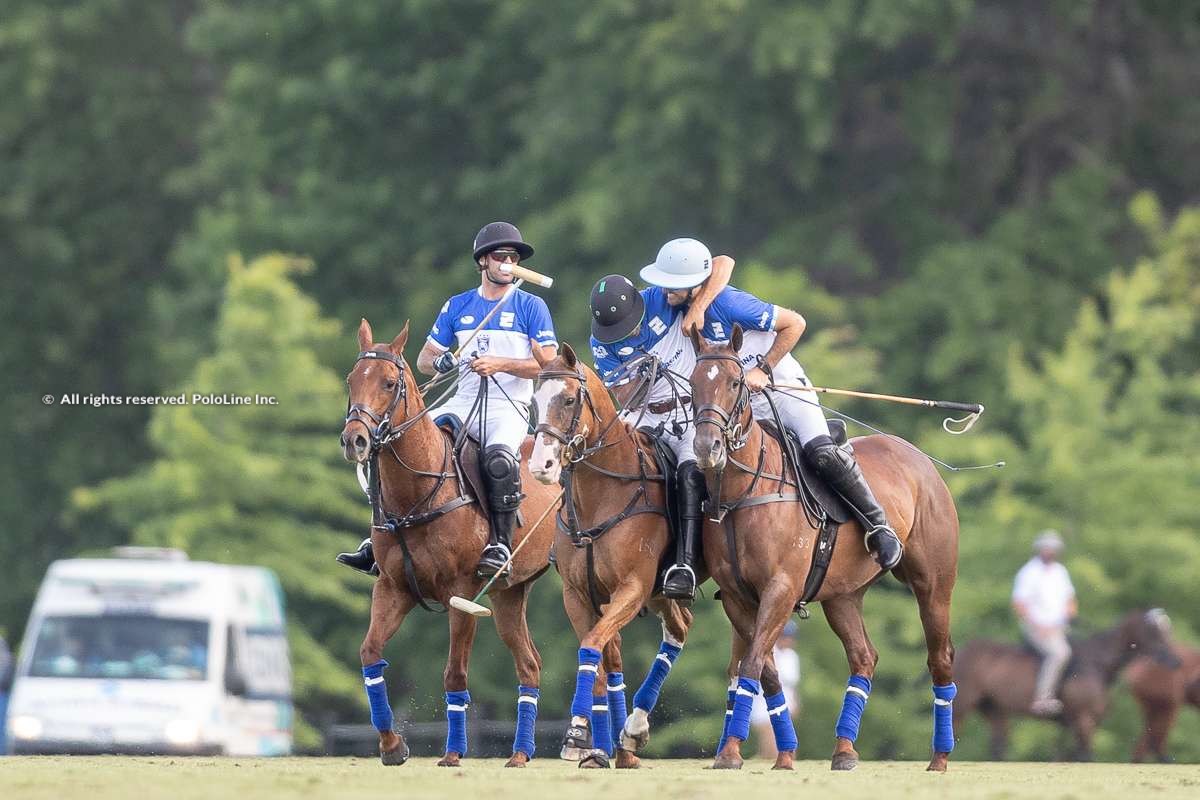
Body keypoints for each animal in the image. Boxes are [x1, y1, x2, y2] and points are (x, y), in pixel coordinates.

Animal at [340, 319, 559, 767]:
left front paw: (454, 753)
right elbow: (370, 653)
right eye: (351, 380)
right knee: (530, 664)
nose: (355, 440)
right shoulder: (393, 587)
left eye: (390, 382)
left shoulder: (462, 592)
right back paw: (520, 754)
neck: (416, 495)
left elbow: (454, 672)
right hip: (509, 595)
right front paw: (392, 746)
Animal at [530, 345, 705, 767]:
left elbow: (592, 645)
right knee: (676, 628)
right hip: (656, 596)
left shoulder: (633, 587)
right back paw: (625, 740)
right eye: (533, 401)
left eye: (569, 399)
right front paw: (584, 738)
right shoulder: (579, 594)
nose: (541, 466)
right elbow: (596, 654)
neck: (601, 493)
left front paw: (579, 737)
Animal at [691, 328, 960, 772]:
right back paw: (845, 750)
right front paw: (762, 755)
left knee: (940, 657)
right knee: (864, 656)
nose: (707, 447)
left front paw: (737, 753)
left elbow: (752, 663)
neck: (744, 490)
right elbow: (763, 670)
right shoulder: (736, 596)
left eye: (735, 383)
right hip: (843, 596)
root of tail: (919, 457)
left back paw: (939, 757)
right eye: (693, 384)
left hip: (934, 584)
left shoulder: (781, 588)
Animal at [950, 609, 1176, 762]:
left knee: (997, 746)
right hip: (961, 705)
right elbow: (1085, 756)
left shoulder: (1087, 721)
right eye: (1154, 632)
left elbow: (1076, 754)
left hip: (994, 709)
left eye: (1167, 631)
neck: (1096, 664)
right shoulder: (1084, 719)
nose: (1175, 661)